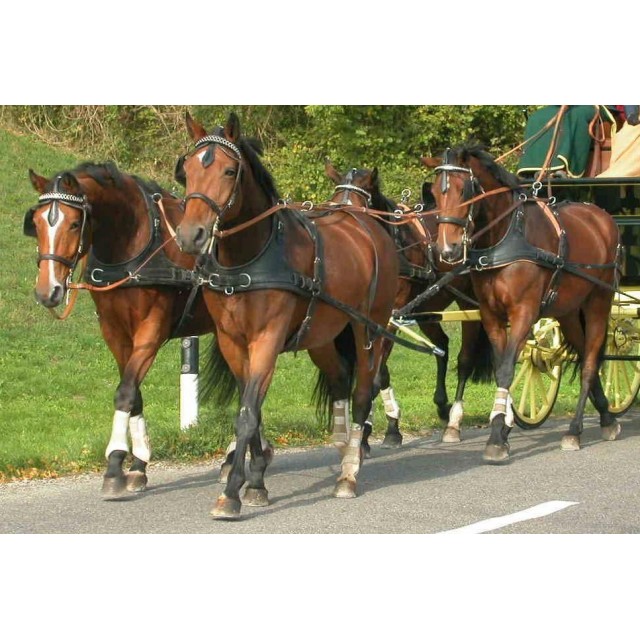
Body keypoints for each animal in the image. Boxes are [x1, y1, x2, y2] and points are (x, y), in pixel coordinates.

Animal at [24, 163, 215, 496]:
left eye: (75, 223)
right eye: (35, 223)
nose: (48, 291)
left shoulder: (151, 330)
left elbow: (125, 392)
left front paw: (114, 464)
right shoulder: (114, 332)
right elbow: (134, 392)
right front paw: (136, 464)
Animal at [174, 112, 400, 520]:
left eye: (229, 171)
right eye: (187, 170)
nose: (190, 235)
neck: (249, 258)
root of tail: (365, 223)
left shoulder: (267, 338)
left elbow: (248, 413)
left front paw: (232, 493)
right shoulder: (233, 342)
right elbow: (251, 408)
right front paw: (256, 481)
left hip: (369, 329)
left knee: (364, 389)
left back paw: (349, 472)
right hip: (323, 335)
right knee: (340, 379)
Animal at [324, 160, 492, 447]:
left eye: (359, 208)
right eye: (335, 205)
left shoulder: (390, 316)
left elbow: (378, 374)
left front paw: (380, 430)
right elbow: (378, 372)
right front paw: (376, 427)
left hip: (468, 303)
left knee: (466, 359)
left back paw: (455, 421)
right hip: (427, 306)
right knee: (441, 345)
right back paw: (442, 405)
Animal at [424, 143, 622, 463]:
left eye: (464, 190)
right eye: (433, 191)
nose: (447, 249)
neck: (505, 236)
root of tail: (602, 217)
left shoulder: (524, 312)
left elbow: (506, 368)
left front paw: (496, 436)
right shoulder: (490, 314)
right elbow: (501, 365)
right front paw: (502, 426)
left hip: (598, 302)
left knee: (590, 362)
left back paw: (574, 430)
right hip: (568, 311)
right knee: (581, 353)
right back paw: (605, 415)